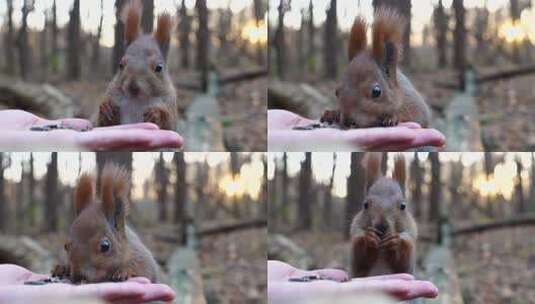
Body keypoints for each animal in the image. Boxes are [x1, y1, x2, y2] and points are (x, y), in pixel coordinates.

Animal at [97, 0, 178, 130]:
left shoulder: (169, 103)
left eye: (159, 68)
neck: (137, 100)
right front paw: (106, 109)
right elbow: (103, 124)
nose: (133, 87)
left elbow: (168, 123)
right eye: (121, 65)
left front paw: (156, 114)